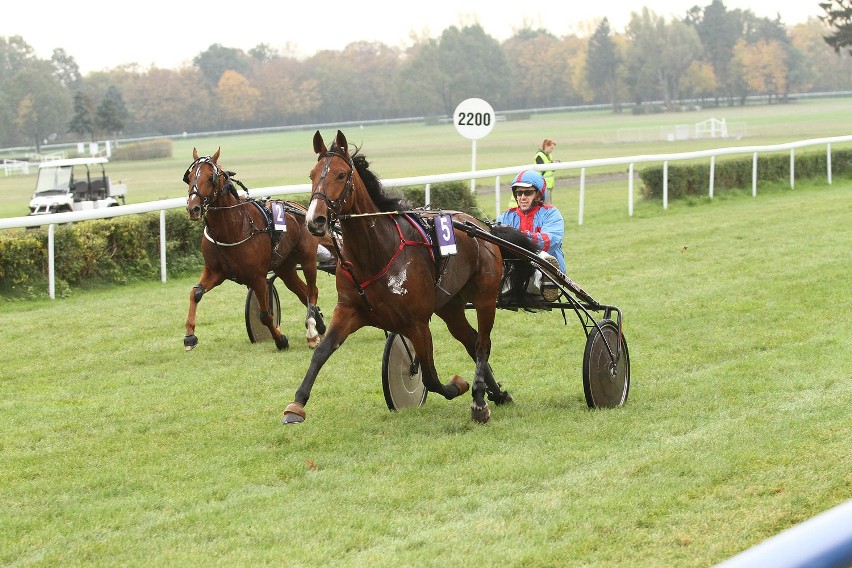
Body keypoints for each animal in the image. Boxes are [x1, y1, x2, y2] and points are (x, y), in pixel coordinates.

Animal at [183, 146, 326, 350]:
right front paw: (190, 336)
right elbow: (195, 293)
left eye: (211, 177)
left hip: (307, 259)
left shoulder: (257, 277)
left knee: (312, 291)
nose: (193, 208)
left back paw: (312, 333)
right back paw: (318, 324)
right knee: (303, 291)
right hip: (284, 267)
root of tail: (301, 208)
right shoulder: (214, 271)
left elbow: (265, 314)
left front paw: (281, 339)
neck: (234, 227)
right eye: (189, 176)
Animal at [282, 131, 532, 424]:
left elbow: (432, 378)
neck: (375, 254)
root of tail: (481, 226)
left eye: (341, 175)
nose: (315, 220)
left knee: (482, 344)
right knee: (470, 340)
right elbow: (322, 352)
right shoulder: (348, 310)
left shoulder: (417, 323)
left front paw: (458, 384)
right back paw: (498, 394)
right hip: (450, 305)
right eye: (312, 174)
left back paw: (480, 401)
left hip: (485, 296)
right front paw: (296, 405)